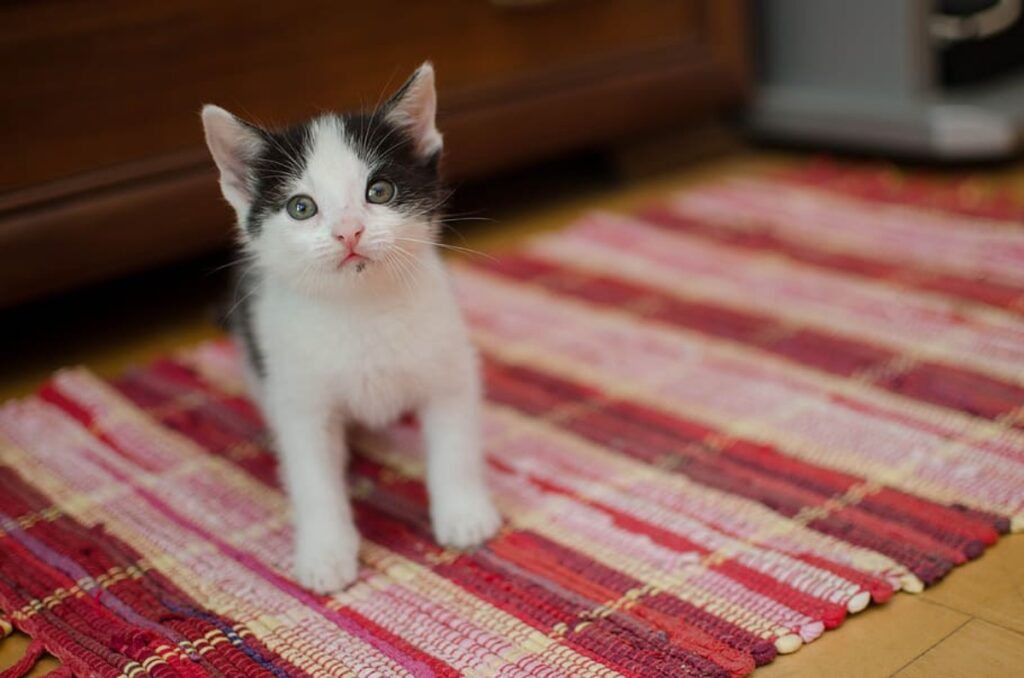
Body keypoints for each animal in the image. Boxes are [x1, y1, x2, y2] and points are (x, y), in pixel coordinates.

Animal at [199, 63, 499, 594]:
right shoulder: (302, 402)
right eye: (301, 207)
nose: (349, 231)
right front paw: (326, 553)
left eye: (379, 191)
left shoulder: (450, 368)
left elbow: (455, 445)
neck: (361, 310)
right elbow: (313, 479)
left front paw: (463, 513)